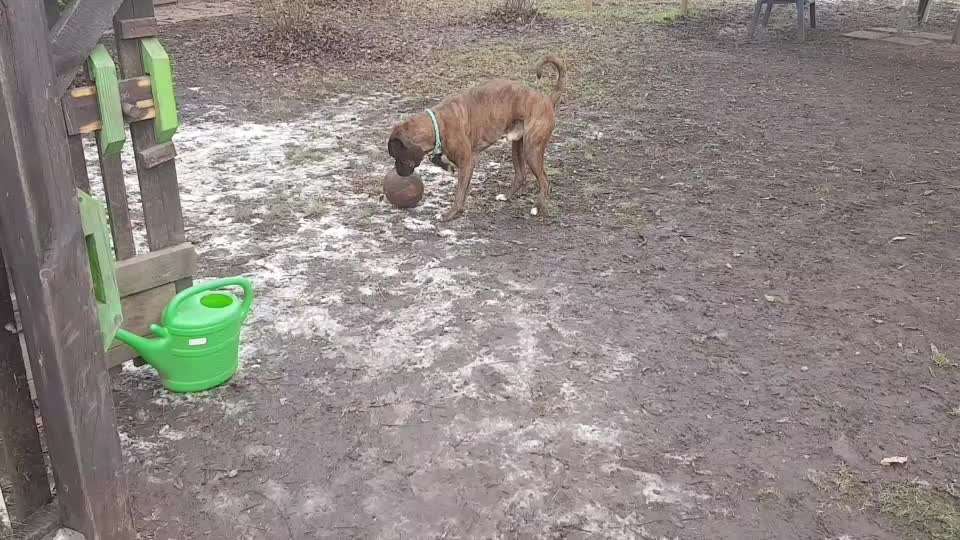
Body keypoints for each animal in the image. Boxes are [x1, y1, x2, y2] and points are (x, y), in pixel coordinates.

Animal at [388, 55, 568, 221]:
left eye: (397, 156)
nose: (397, 171)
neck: (437, 123)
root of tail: (547, 100)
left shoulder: (467, 162)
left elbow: (460, 191)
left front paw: (450, 214)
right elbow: (437, 159)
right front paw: (447, 166)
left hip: (531, 149)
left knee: (544, 181)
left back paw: (537, 207)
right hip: (518, 145)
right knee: (521, 175)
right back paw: (506, 196)